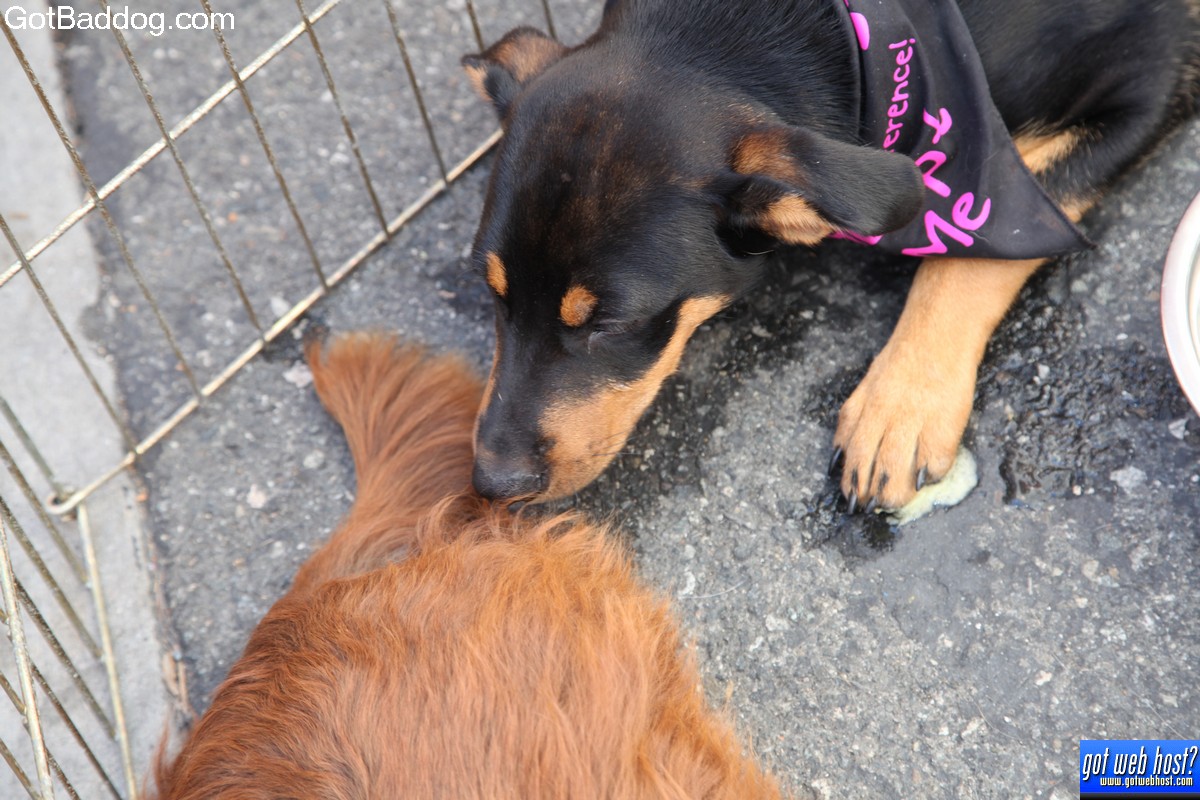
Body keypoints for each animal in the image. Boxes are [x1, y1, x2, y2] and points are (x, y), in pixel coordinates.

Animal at [463, 0, 1200, 510]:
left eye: (611, 324)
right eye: (492, 294)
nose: (493, 483)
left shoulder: (1152, 74)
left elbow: (972, 254)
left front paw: (901, 405)